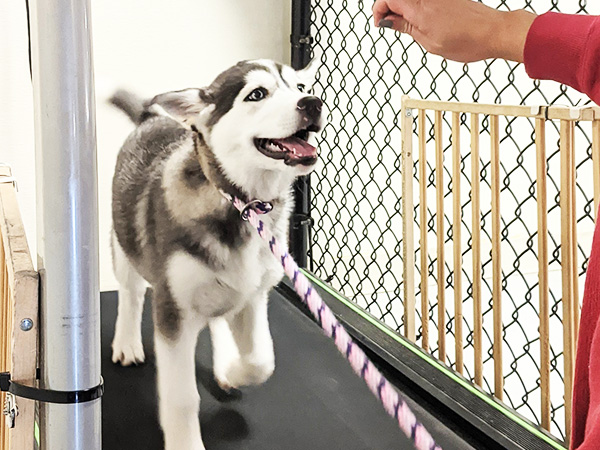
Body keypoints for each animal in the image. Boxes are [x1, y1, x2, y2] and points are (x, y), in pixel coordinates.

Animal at [108, 60, 324, 450]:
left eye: (300, 87)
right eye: (257, 94)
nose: (313, 103)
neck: (244, 206)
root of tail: (153, 118)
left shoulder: (254, 294)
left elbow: (261, 359)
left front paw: (237, 372)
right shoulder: (173, 311)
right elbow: (181, 397)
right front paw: (185, 443)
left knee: (219, 317)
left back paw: (225, 364)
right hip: (124, 243)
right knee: (130, 293)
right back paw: (127, 342)